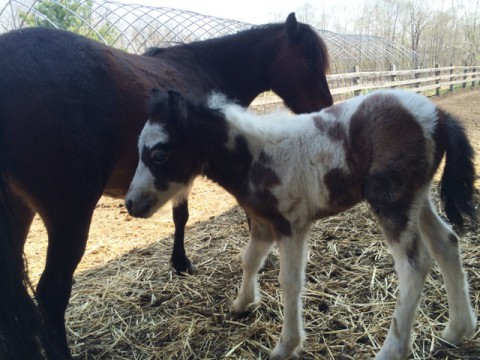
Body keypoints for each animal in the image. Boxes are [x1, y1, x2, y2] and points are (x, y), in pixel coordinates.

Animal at [0, 13, 330, 358]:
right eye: (309, 61)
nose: (326, 105)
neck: (206, 67)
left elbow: (180, 216)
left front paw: (180, 262)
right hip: (69, 214)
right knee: (51, 295)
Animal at [126, 89, 476, 360]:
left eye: (159, 154)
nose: (132, 204)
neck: (254, 157)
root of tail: (438, 116)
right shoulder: (263, 222)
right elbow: (249, 259)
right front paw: (242, 303)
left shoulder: (291, 224)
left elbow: (290, 281)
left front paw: (286, 345)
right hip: (418, 198)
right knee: (447, 243)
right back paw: (457, 330)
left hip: (393, 203)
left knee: (415, 266)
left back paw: (392, 351)